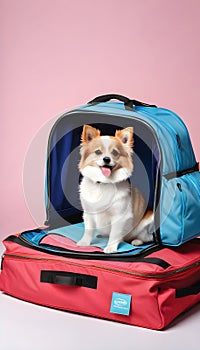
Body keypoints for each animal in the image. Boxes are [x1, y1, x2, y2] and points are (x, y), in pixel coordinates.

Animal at [77, 124, 154, 253]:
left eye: (114, 152)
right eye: (98, 152)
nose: (106, 159)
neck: (103, 183)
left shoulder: (119, 217)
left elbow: (114, 234)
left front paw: (111, 247)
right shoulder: (89, 213)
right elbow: (88, 230)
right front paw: (84, 242)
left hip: (146, 223)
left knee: (146, 237)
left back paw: (137, 241)